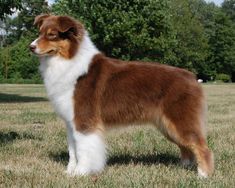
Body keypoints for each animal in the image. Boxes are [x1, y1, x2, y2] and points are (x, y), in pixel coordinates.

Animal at [29, 14, 213, 178]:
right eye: (39, 32)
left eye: (51, 35)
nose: (30, 46)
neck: (68, 61)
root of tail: (192, 76)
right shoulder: (70, 122)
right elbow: (72, 150)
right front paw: (69, 173)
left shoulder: (84, 120)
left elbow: (83, 149)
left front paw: (81, 173)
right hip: (167, 125)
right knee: (186, 147)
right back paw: (184, 167)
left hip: (180, 120)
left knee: (202, 146)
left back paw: (203, 175)